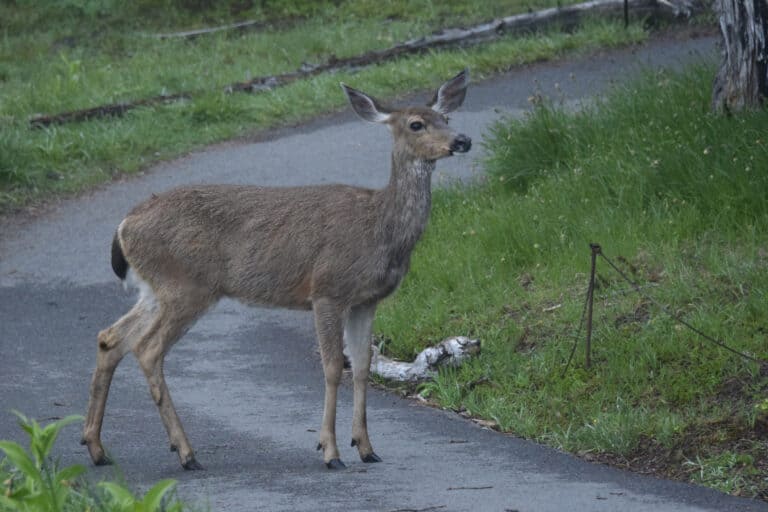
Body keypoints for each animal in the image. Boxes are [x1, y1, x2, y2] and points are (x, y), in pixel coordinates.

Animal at [81, 69, 472, 471]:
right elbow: (334, 368)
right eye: (416, 124)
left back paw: (97, 447)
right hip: (185, 285)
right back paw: (186, 453)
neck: (380, 226)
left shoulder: (366, 300)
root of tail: (125, 224)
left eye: (447, 117)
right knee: (146, 349)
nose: (462, 140)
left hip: (156, 288)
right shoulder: (327, 289)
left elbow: (362, 366)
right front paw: (330, 451)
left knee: (111, 338)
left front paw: (365, 447)